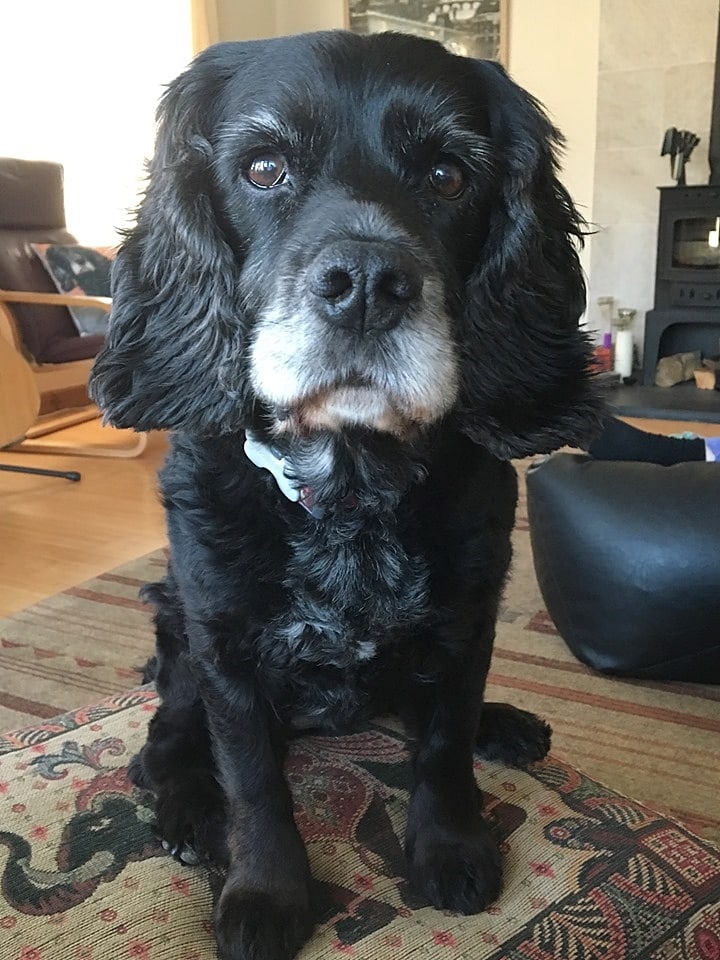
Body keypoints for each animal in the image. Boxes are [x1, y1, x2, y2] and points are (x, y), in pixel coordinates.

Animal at [88, 30, 600, 960]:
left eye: (448, 174)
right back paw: (186, 806)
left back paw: (506, 724)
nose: (366, 282)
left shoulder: (466, 620)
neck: (352, 492)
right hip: (176, 629)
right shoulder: (225, 647)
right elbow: (254, 780)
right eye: (262, 168)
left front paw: (450, 846)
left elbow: (444, 745)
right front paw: (265, 893)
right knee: (167, 735)